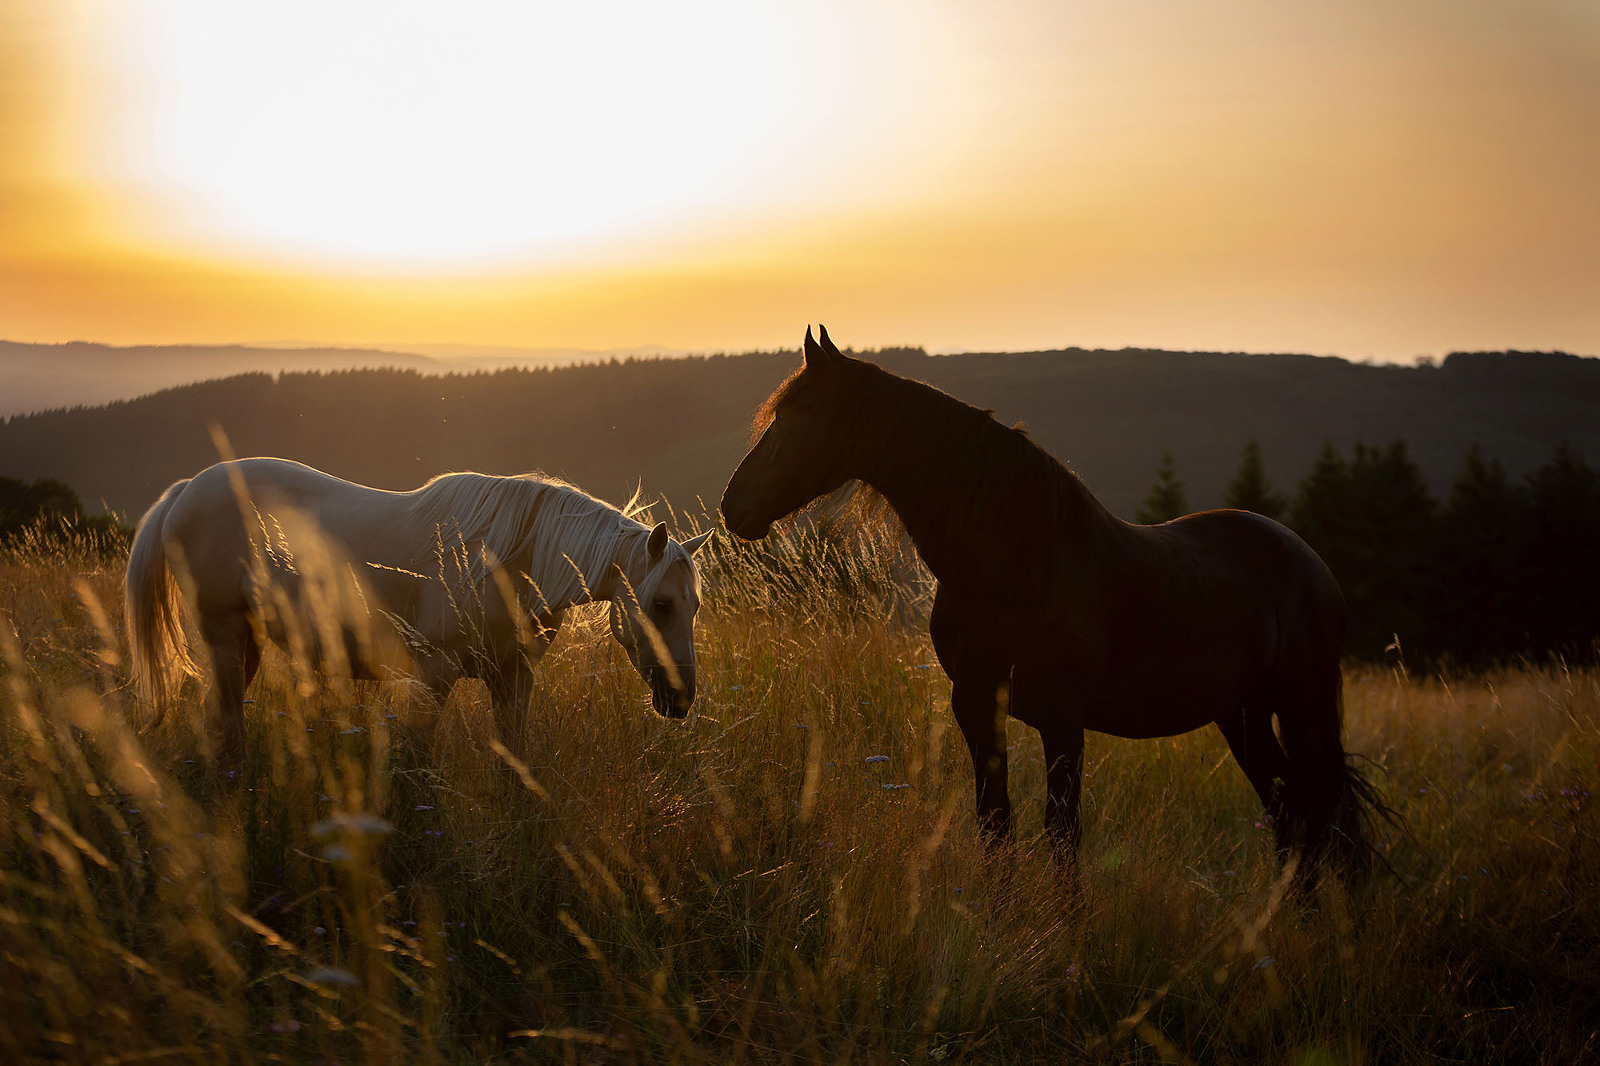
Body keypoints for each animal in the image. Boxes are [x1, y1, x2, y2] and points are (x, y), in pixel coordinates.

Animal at [118, 457, 707, 765]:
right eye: (660, 603)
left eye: (694, 605)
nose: (681, 698)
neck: (506, 562)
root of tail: (186, 490)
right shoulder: (434, 676)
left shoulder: (513, 677)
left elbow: (512, 760)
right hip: (223, 635)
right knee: (226, 723)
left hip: (246, 643)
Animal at [726, 321, 1388, 877]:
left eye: (801, 413)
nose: (735, 506)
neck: (1013, 560)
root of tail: (1310, 561)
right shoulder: (976, 708)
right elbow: (995, 824)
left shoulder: (1063, 718)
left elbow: (1062, 833)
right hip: (1242, 713)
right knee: (1291, 814)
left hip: (1302, 707)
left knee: (1316, 813)